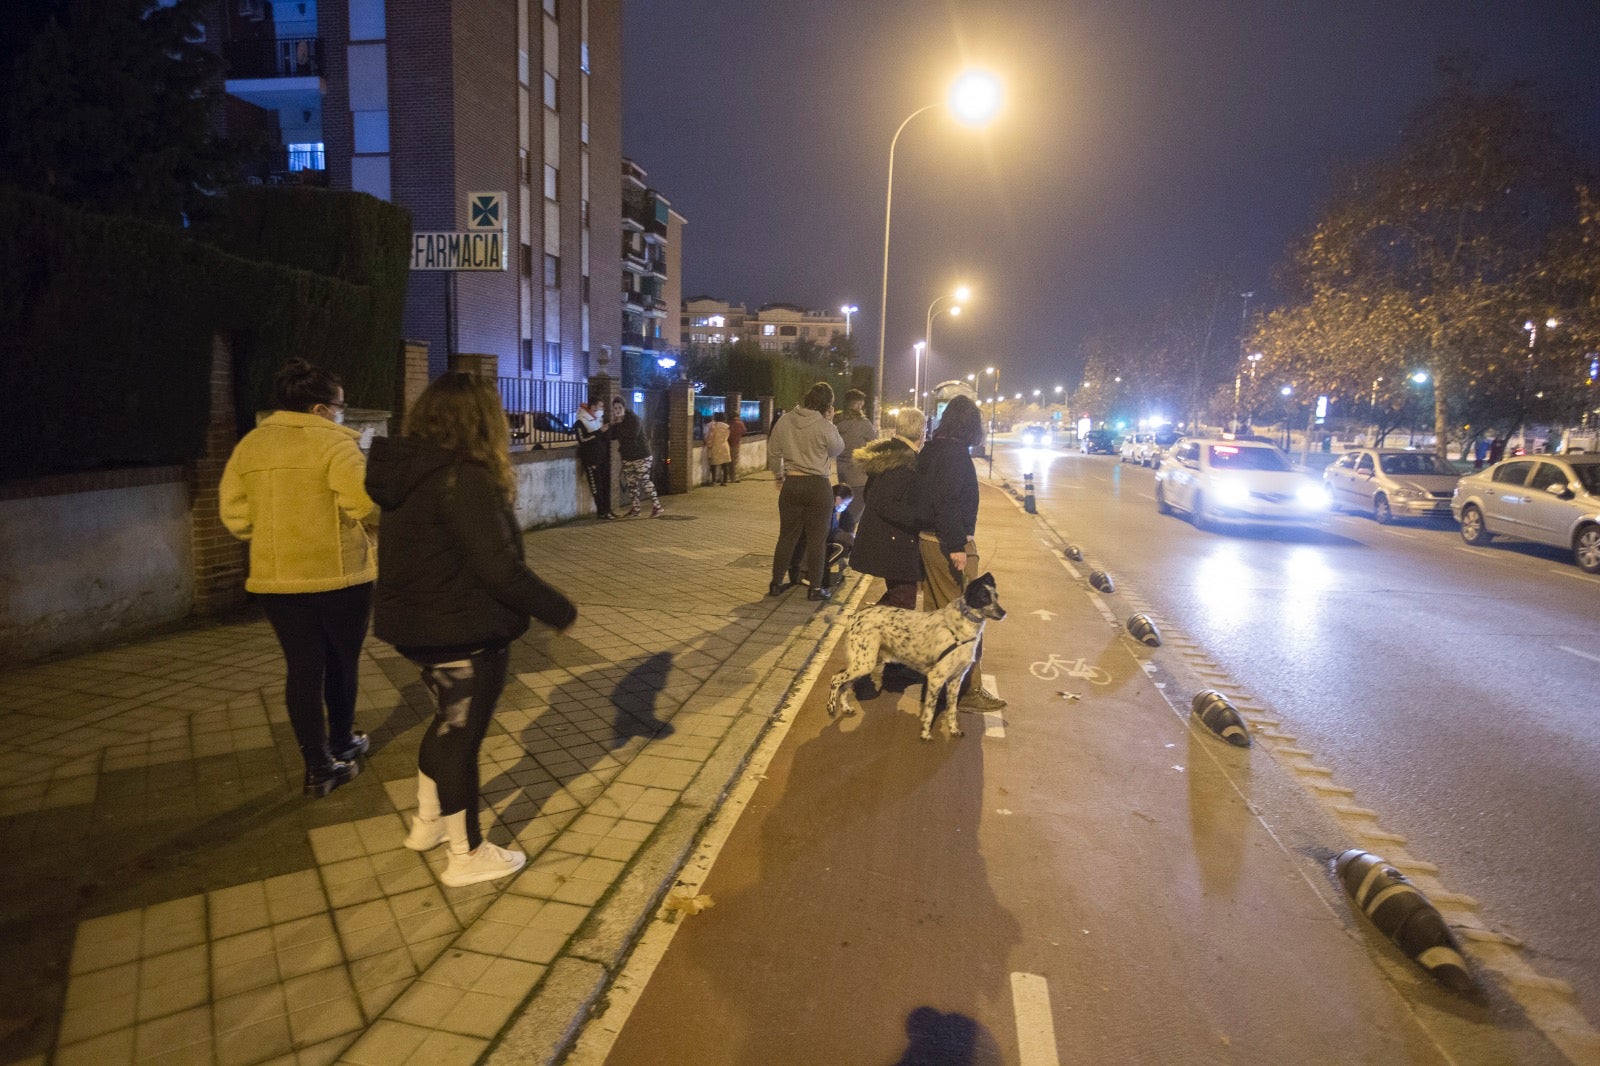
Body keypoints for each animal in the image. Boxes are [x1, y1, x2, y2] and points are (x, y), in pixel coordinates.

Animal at [832, 573, 1004, 739]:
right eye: (984, 598)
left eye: (996, 596)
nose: (1004, 613)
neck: (960, 631)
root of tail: (854, 617)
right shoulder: (936, 679)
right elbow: (930, 710)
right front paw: (925, 734)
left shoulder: (956, 680)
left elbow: (952, 710)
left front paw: (954, 730)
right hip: (863, 664)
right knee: (836, 679)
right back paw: (831, 707)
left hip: (863, 664)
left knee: (844, 685)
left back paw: (845, 707)